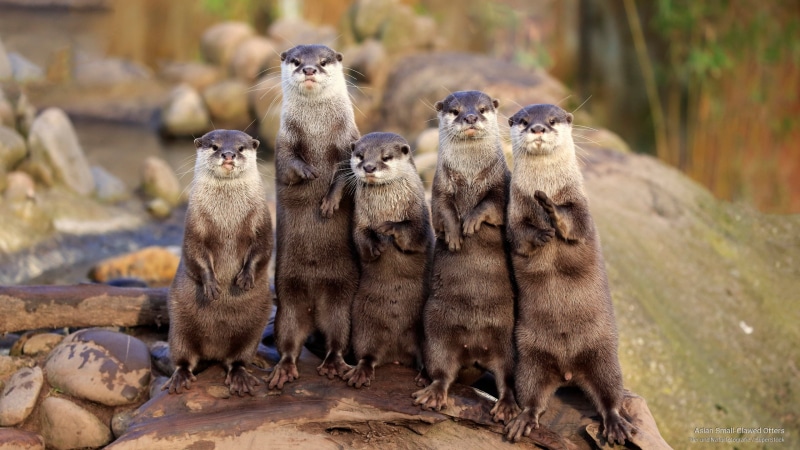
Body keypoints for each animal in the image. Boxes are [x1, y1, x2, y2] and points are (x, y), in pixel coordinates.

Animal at [164, 129, 272, 396]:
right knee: (183, 357)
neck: (227, 218)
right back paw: (181, 377)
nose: (228, 154)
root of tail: (214, 351)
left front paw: (245, 278)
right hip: (179, 327)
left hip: (253, 330)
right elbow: (194, 252)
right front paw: (212, 285)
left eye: (241, 148)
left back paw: (240, 377)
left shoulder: (262, 221)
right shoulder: (194, 224)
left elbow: (263, 249)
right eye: (214, 146)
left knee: (237, 359)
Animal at [267, 44, 361, 389]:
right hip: (287, 300)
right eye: (296, 60)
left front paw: (329, 201)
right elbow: (289, 164)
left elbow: (344, 175)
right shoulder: (282, 142)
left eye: (323, 61)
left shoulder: (349, 142)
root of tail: (314, 303)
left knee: (338, 336)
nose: (308, 69)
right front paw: (308, 172)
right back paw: (284, 368)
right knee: (288, 340)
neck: (317, 131)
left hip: (342, 301)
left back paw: (333, 363)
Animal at [342, 132, 433, 388]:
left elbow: (414, 234)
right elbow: (361, 238)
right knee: (368, 354)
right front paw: (376, 246)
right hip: (363, 326)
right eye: (360, 155)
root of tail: (396, 354)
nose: (369, 167)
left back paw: (425, 376)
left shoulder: (420, 217)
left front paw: (389, 228)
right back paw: (360, 372)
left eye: (385, 157)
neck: (386, 206)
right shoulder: (359, 219)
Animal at [411, 91, 519, 424]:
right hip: (436, 332)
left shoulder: (501, 185)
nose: (470, 117)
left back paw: (507, 407)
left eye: (482, 109)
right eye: (456, 110)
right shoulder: (440, 186)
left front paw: (471, 223)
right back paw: (431, 390)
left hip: (508, 343)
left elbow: (490, 206)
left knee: (506, 378)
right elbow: (443, 211)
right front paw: (455, 235)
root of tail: (473, 350)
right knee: (442, 371)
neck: (471, 175)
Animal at [503, 104, 634, 445]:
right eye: (524, 120)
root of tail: (567, 370)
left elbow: (573, 223)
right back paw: (523, 419)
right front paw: (542, 232)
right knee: (532, 394)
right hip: (529, 358)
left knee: (610, 393)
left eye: (552, 120)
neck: (548, 184)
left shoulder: (581, 207)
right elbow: (520, 236)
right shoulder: (514, 211)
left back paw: (615, 423)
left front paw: (550, 208)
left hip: (604, 353)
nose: (537, 128)